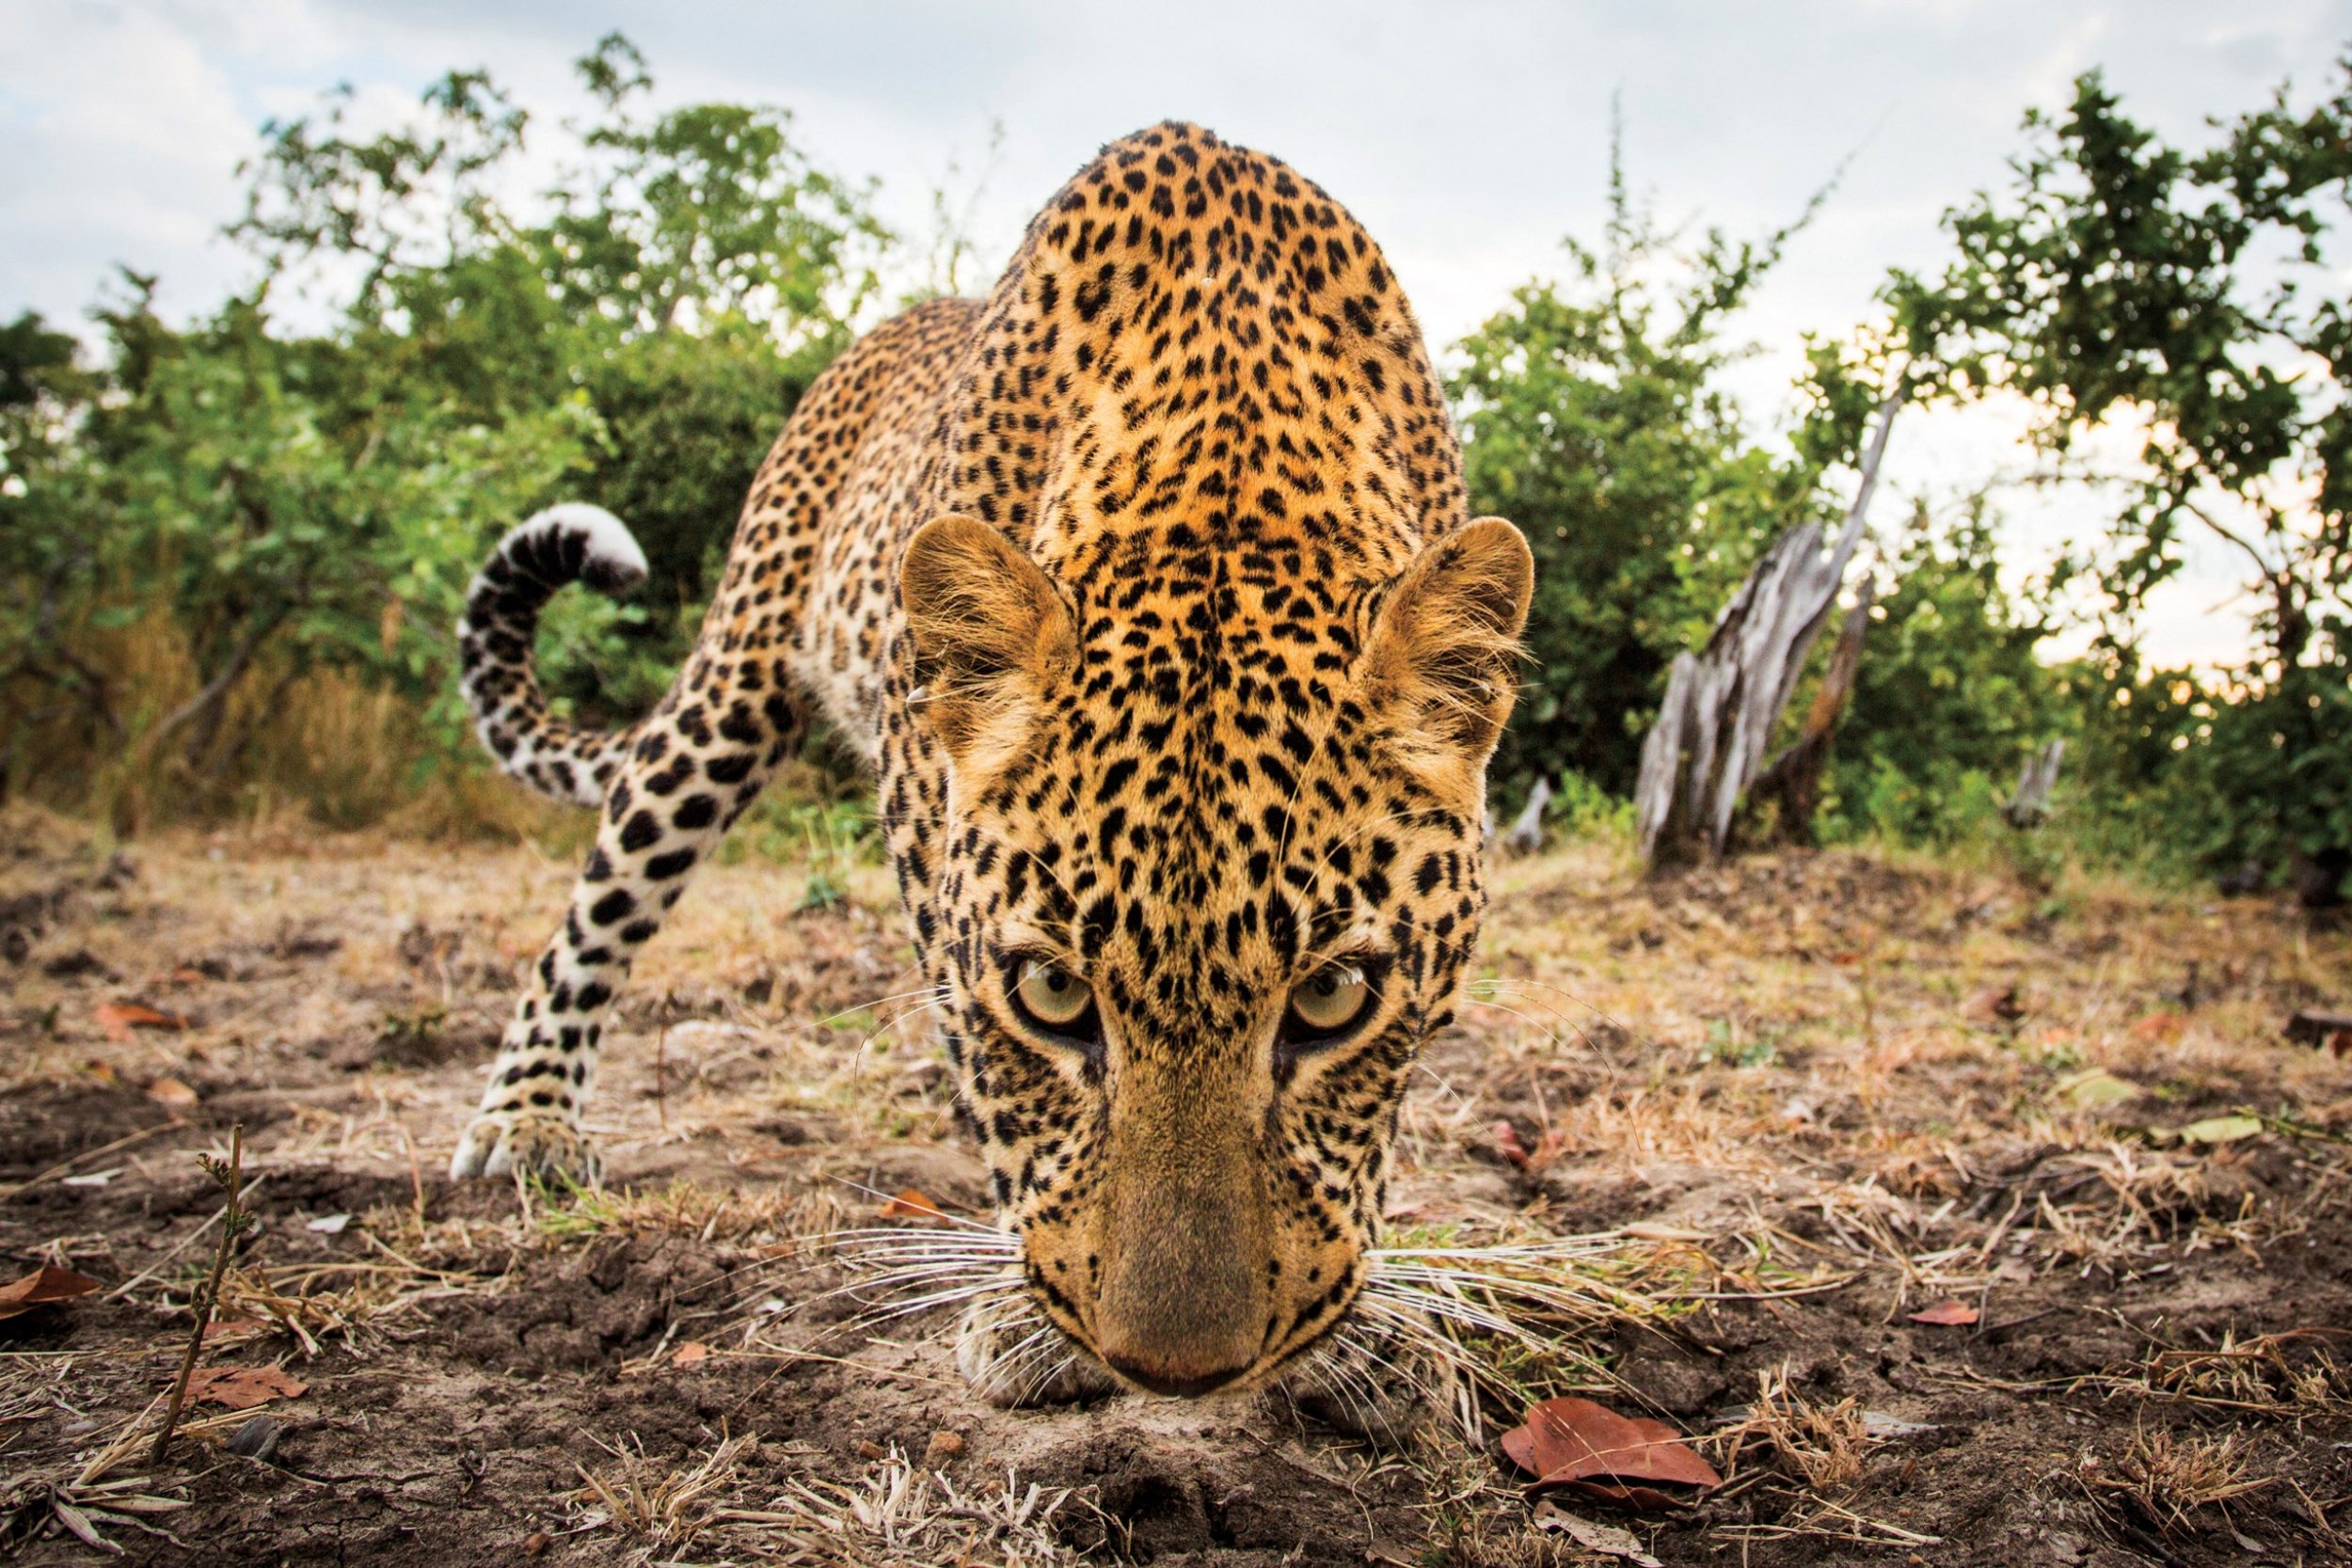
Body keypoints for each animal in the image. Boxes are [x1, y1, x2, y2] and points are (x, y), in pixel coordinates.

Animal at [447, 119, 1534, 1419]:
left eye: (1332, 1000)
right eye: (1052, 995)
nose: (1173, 1373)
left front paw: (1364, 1340)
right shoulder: (926, 809)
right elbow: (992, 1081)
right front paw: (1029, 1319)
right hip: (728, 685)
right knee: (604, 896)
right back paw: (526, 1122)